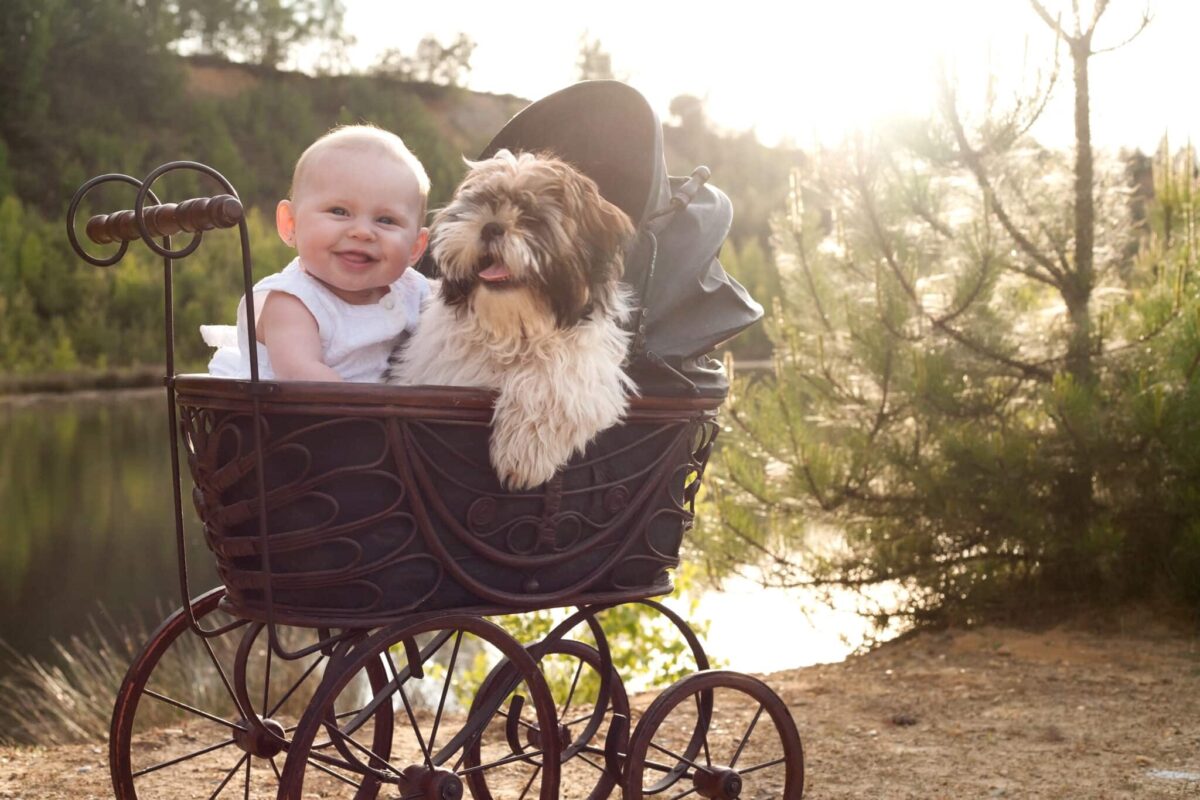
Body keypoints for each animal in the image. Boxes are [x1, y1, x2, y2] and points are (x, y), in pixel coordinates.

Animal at [391, 146, 638, 491]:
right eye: (481, 205)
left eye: (531, 216)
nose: (491, 226)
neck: (511, 331)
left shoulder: (587, 369)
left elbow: (554, 382)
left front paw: (523, 455)